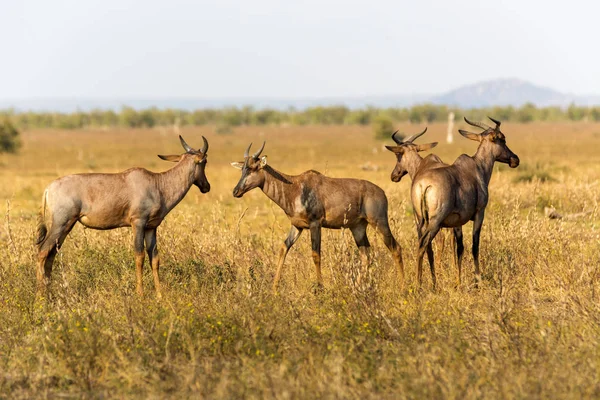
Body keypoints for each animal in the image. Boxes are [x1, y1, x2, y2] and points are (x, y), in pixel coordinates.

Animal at [35, 135, 210, 296]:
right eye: (205, 161)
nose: (206, 187)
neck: (157, 183)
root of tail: (48, 188)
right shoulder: (138, 223)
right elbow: (139, 256)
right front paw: (140, 294)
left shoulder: (151, 227)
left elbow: (154, 259)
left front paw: (160, 296)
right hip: (60, 223)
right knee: (42, 251)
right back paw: (40, 296)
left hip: (66, 226)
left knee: (51, 255)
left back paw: (49, 292)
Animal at [232, 142, 406, 292]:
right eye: (242, 169)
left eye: (253, 168)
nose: (236, 191)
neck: (295, 186)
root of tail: (382, 193)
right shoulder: (297, 226)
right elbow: (283, 249)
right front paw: (274, 288)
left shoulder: (315, 224)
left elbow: (316, 254)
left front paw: (320, 288)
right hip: (358, 228)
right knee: (366, 256)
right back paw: (357, 288)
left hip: (379, 222)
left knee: (395, 248)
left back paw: (403, 287)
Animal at [412, 117, 520, 290]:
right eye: (502, 138)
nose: (515, 159)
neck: (477, 168)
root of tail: (424, 184)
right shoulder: (480, 213)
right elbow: (475, 246)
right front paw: (478, 280)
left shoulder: (458, 221)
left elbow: (459, 249)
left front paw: (458, 281)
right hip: (435, 222)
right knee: (423, 244)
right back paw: (419, 284)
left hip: (420, 220)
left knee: (425, 246)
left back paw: (432, 283)